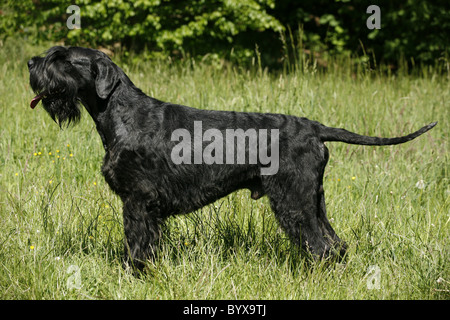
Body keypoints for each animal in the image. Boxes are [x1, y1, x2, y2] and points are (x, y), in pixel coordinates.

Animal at [27, 46, 436, 268]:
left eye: (62, 58)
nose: (31, 63)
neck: (120, 113)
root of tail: (314, 128)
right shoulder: (149, 208)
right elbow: (150, 245)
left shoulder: (137, 201)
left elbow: (136, 246)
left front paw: (133, 275)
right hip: (312, 199)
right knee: (335, 244)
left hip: (293, 200)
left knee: (319, 247)